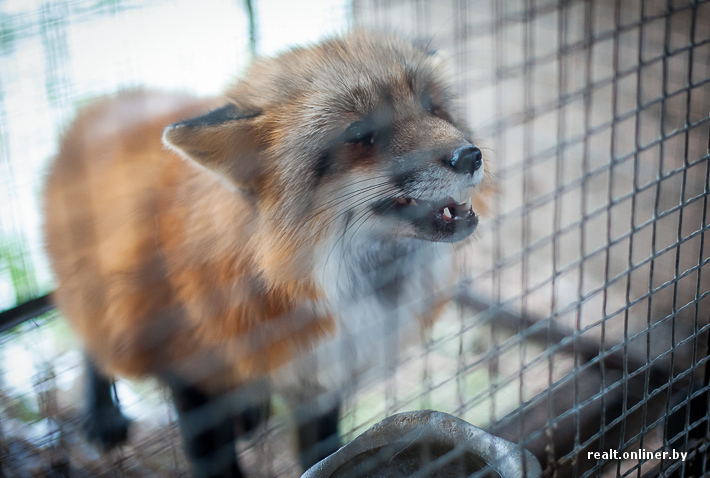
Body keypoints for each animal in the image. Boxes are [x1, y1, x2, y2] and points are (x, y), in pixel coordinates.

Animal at [44, 31, 486, 476]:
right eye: (362, 134)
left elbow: (323, 451)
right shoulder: (188, 370)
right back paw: (102, 413)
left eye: (432, 106)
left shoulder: (317, 375)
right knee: (93, 341)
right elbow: (215, 459)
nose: (471, 155)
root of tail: (108, 99)